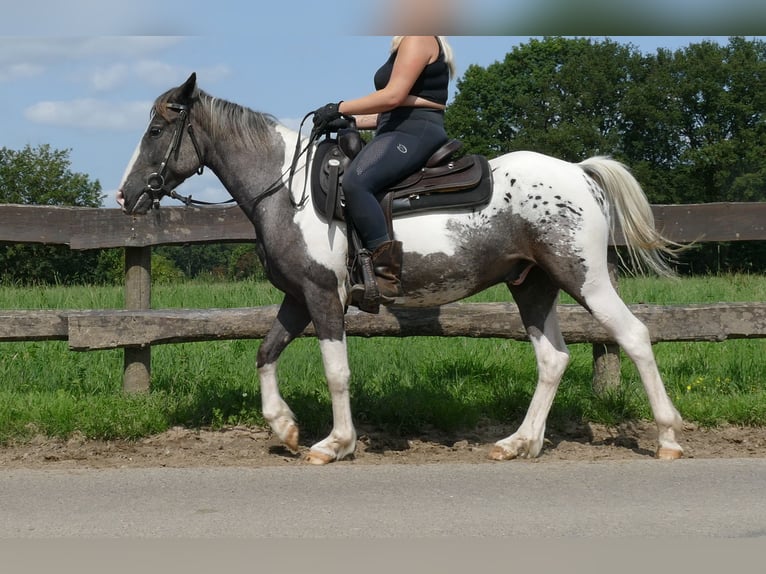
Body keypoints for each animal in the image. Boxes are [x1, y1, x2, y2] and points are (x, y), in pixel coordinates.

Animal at [115, 74, 684, 466]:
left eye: (157, 129)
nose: (125, 196)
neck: (286, 190)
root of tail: (580, 173)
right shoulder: (298, 296)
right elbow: (265, 351)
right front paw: (285, 428)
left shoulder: (323, 296)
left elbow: (336, 371)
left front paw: (335, 443)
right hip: (532, 285)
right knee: (553, 359)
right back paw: (520, 442)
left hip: (583, 276)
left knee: (634, 336)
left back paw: (668, 437)